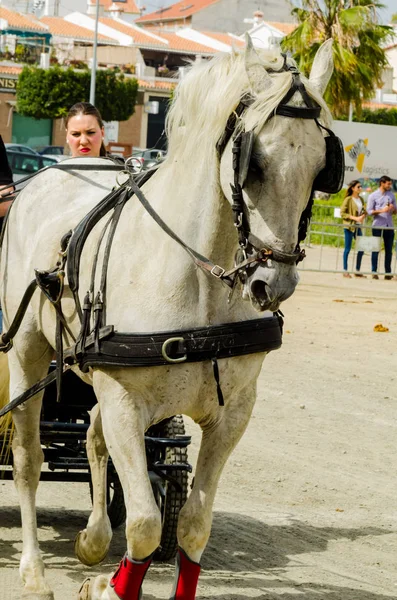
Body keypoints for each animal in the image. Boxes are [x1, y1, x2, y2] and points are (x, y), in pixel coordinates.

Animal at [0, 38, 334, 600]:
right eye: (254, 164)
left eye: (321, 168)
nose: (274, 284)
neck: (200, 281)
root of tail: (48, 174)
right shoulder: (125, 403)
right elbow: (145, 525)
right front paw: (111, 586)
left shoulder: (232, 415)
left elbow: (194, 525)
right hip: (28, 356)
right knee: (29, 459)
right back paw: (33, 570)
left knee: (92, 434)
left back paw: (91, 539)